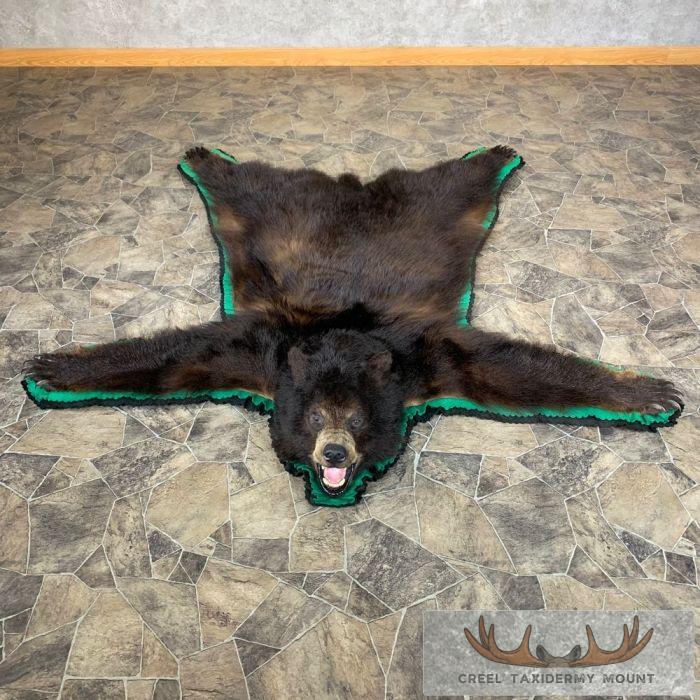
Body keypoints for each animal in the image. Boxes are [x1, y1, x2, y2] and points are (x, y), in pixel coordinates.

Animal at [25, 145, 683, 498]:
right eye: (316, 417)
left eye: (358, 419)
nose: (335, 452)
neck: (345, 334)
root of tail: (349, 189)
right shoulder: (262, 350)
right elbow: (179, 358)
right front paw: (52, 369)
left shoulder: (424, 356)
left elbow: (504, 370)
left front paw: (648, 393)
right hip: (268, 213)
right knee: (245, 185)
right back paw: (206, 158)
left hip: (431, 211)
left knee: (456, 185)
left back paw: (493, 156)